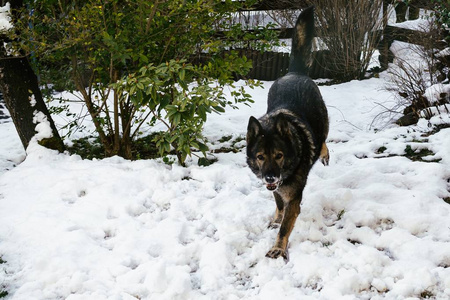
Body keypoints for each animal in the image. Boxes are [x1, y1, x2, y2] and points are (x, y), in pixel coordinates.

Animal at [248, 6, 328, 260]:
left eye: (279, 155)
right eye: (260, 156)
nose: (270, 177)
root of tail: (295, 73)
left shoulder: (294, 197)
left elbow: (285, 226)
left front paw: (278, 248)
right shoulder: (277, 190)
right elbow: (278, 205)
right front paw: (275, 219)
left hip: (323, 121)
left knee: (323, 138)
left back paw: (323, 153)